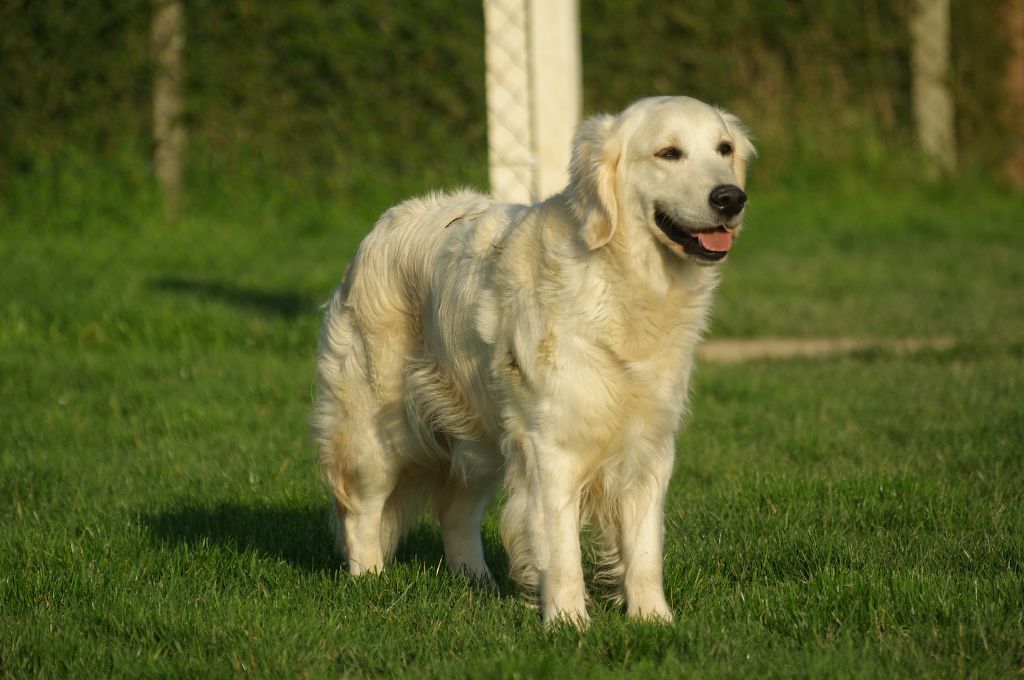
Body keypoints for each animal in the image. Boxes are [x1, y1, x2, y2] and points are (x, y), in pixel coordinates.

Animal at [311, 96, 753, 626]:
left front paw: (652, 619)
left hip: (477, 432)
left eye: (724, 148)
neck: (622, 280)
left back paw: (474, 579)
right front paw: (567, 621)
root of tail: (380, 227)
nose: (731, 198)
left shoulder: (650, 446)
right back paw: (369, 582)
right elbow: (560, 549)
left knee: (456, 510)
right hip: (375, 429)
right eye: (669, 152)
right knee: (362, 509)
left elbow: (645, 547)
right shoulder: (549, 446)